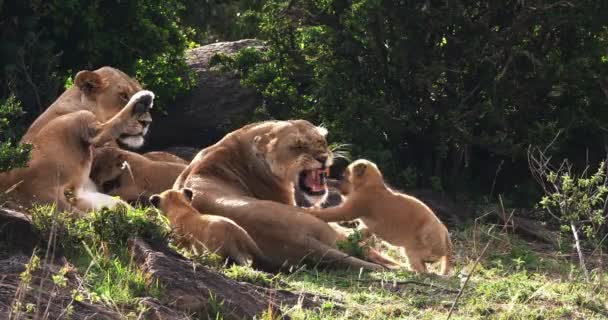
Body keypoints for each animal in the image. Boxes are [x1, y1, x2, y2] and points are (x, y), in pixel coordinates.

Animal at [2, 90, 154, 215]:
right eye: (122, 96)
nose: (146, 123)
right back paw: (141, 101)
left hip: (85, 196)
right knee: (99, 133)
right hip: (76, 120)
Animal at [308, 159, 452, 274]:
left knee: (421, 270)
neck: (372, 184)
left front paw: (309, 211)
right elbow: (358, 233)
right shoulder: (368, 226)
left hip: (415, 250)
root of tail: (446, 238)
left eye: (345, 174)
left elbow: (330, 213)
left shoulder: (351, 208)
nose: (329, 179)